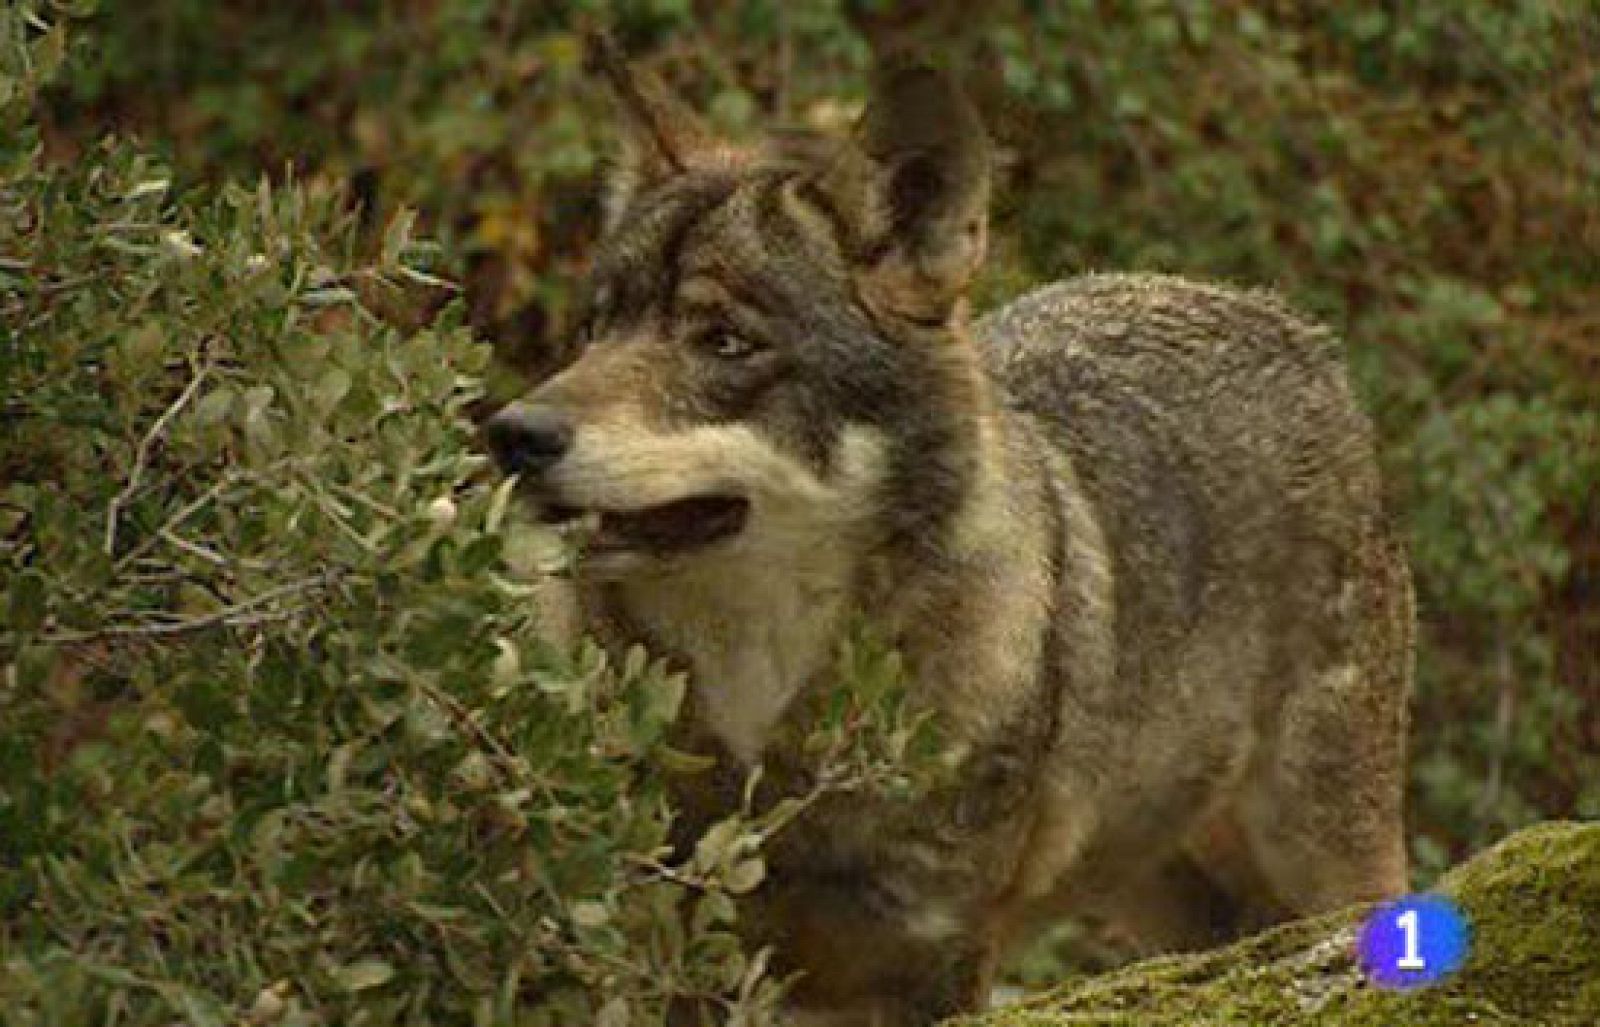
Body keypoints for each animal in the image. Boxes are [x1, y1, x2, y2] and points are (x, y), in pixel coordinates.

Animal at [484, 41, 1413, 1026]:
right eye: (596, 328)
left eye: (724, 341)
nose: (515, 434)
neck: (766, 704)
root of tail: (1284, 320)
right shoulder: (677, 946)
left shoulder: (937, 961)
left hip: (1325, 858)